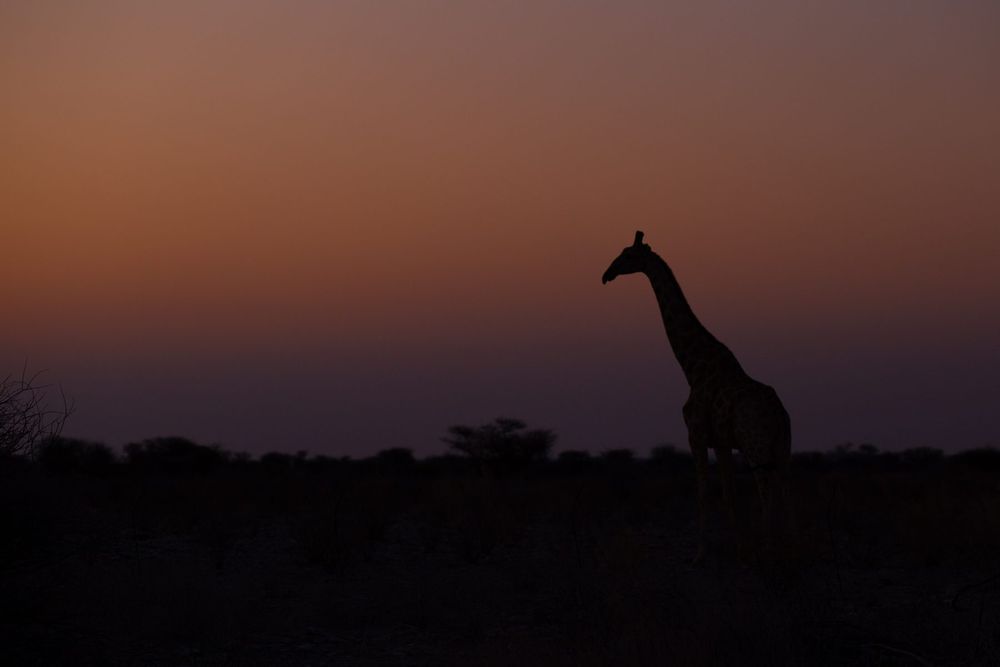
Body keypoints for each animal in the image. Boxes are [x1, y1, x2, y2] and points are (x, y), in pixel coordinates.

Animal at [602, 231, 791, 562]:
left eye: (627, 255)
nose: (606, 274)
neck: (691, 368)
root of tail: (779, 413)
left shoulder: (696, 435)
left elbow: (703, 492)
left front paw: (700, 553)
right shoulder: (722, 443)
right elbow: (728, 493)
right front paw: (740, 548)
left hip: (755, 445)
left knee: (766, 489)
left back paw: (769, 549)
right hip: (781, 446)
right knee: (785, 488)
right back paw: (790, 546)